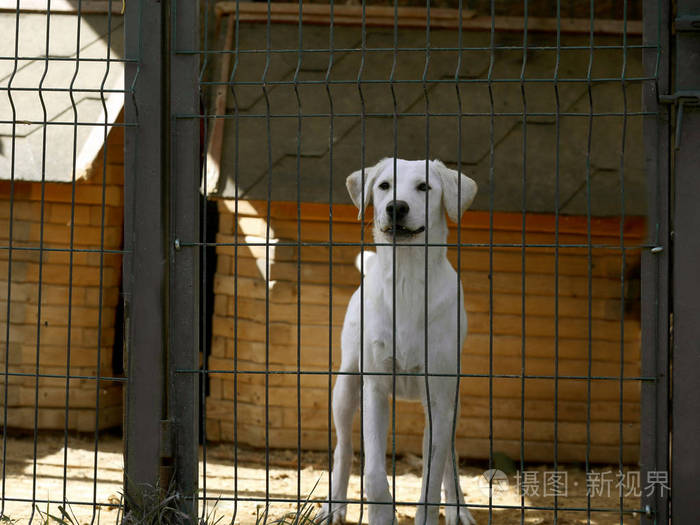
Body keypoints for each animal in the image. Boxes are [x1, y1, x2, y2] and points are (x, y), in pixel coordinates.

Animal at [320, 159, 478, 524]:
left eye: (424, 187)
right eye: (383, 186)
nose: (396, 207)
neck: (405, 279)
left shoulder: (439, 400)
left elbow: (431, 482)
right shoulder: (375, 389)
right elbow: (374, 474)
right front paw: (381, 515)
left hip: (453, 402)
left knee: (450, 456)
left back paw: (458, 508)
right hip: (346, 384)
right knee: (344, 448)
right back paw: (334, 505)